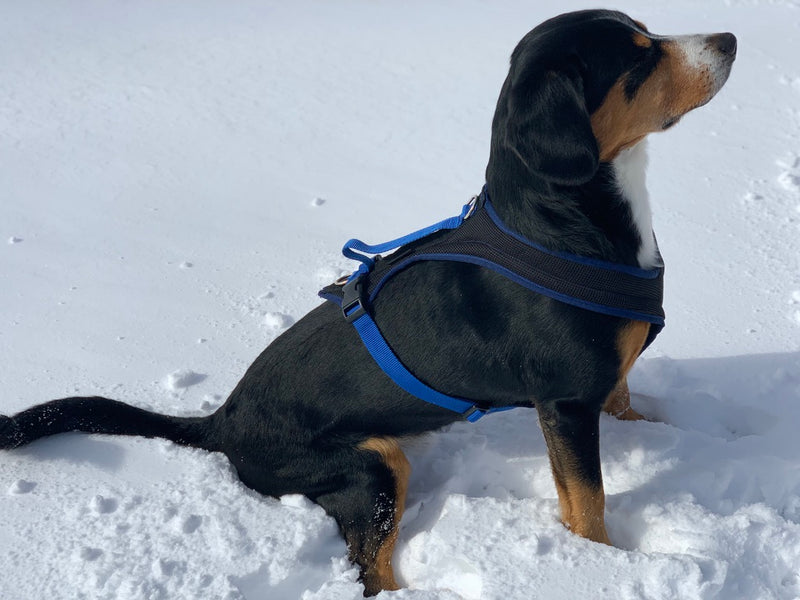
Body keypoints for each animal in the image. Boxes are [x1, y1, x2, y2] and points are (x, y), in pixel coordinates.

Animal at [1, 9, 736, 596]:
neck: (564, 222)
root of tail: (223, 422)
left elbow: (630, 408)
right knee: (368, 569)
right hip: (371, 467)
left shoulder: (604, 384)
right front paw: (601, 567)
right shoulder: (566, 404)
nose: (730, 38)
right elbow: (588, 504)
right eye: (638, 56)